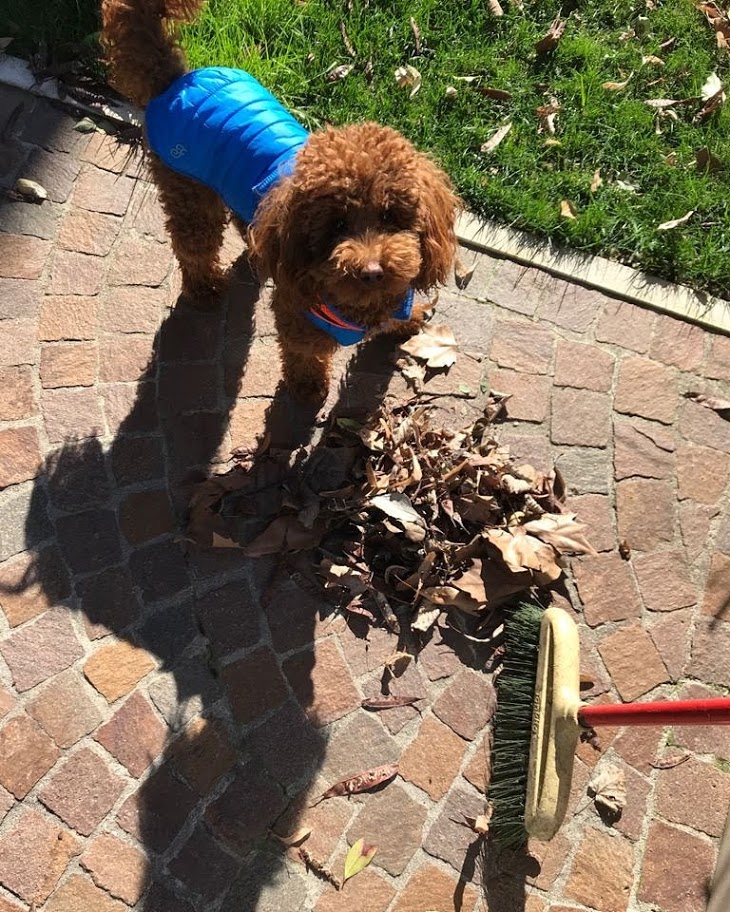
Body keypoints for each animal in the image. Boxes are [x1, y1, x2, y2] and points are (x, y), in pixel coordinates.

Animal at [101, 0, 458, 402]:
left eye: (390, 216)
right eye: (336, 225)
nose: (372, 272)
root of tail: (177, 81)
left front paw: (407, 320)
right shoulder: (299, 320)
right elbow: (304, 355)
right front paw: (307, 389)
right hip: (187, 190)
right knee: (193, 246)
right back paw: (205, 287)